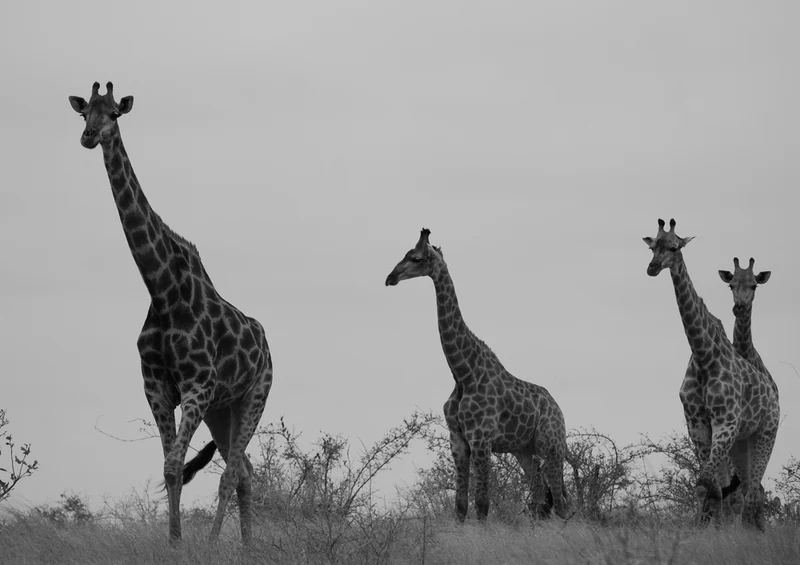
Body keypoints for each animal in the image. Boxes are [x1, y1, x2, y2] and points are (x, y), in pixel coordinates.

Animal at [68, 82, 273, 544]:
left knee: (232, 473)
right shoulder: (157, 387)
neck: (162, 290)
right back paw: (247, 548)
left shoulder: (197, 385)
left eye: (114, 114)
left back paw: (218, 545)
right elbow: (169, 469)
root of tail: (267, 347)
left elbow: (175, 465)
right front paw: (174, 544)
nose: (89, 137)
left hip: (254, 396)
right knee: (245, 470)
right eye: (85, 112)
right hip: (221, 409)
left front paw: (186, 544)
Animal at [385, 228, 567, 521]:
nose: (390, 277)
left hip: (551, 446)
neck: (462, 372)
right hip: (523, 450)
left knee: (560, 503)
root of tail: (558, 408)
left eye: (416, 258)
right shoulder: (458, 440)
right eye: (406, 254)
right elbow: (460, 506)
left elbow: (482, 504)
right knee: (541, 498)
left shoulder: (481, 439)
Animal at [643, 219, 779, 530]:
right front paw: (704, 527)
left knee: (754, 492)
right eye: (652, 246)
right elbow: (710, 488)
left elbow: (708, 483)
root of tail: (772, 394)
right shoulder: (697, 424)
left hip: (766, 433)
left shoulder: (726, 422)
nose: (652, 268)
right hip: (742, 443)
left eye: (674, 247)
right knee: (748, 490)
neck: (703, 354)